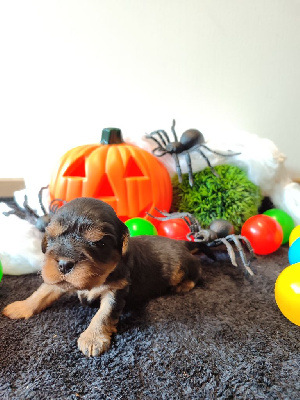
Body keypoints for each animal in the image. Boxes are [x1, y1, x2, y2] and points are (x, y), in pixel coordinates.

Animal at [2, 197, 211, 356]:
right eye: (52, 237)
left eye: (98, 243)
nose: (63, 264)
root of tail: (181, 244)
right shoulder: (59, 281)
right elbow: (42, 291)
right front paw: (21, 307)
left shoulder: (117, 290)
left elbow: (104, 314)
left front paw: (92, 338)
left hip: (181, 267)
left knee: (198, 268)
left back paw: (184, 285)